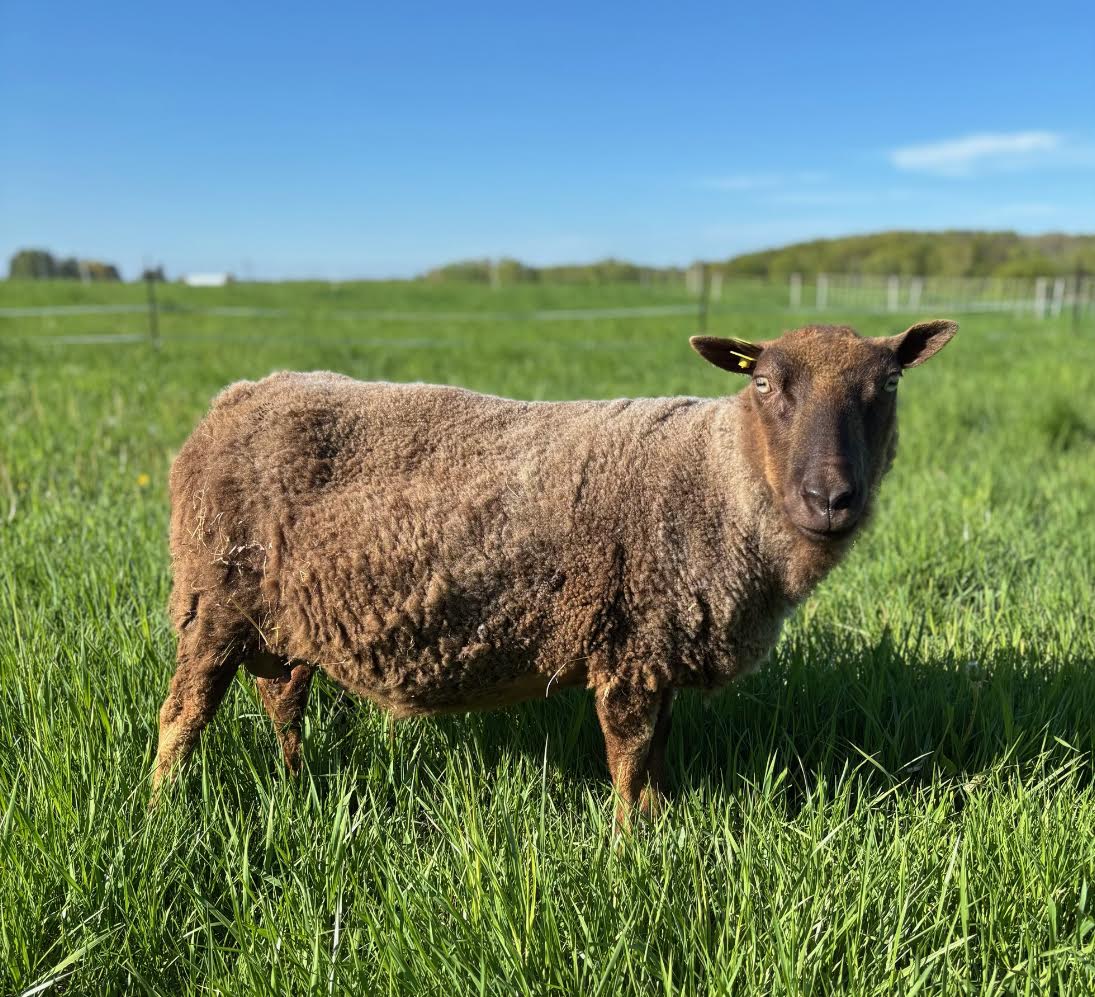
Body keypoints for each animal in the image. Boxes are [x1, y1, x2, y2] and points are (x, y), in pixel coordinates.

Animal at [152, 319, 957, 820]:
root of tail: (237, 396)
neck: (720, 479)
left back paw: (295, 782)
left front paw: (661, 826)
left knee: (281, 699)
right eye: (763, 383)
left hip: (284, 618)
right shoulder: (629, 647)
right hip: (212, 599)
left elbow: (656, 757)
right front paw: (630, 850)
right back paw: (162, 811)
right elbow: (628, 760)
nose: (830, 498)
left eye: (888, 384)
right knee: (183, 715)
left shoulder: (659, 646)